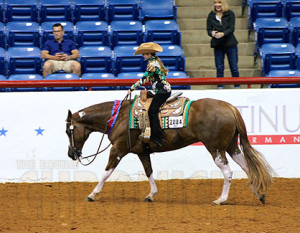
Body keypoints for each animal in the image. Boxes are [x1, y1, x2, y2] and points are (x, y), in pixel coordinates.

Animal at [65, 95, 274, 205]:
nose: (71, 154)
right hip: (231, 146)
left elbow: (106, 172)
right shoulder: (142, 152)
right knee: (247, 167)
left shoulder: (118, 149)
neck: (120, 117)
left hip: (215, 149)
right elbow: (148, 171)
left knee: (228, 171)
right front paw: (151, 194)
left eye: (68, 131)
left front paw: (93, 194)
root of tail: (230, 107)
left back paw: (221, 199)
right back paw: (259, 194)